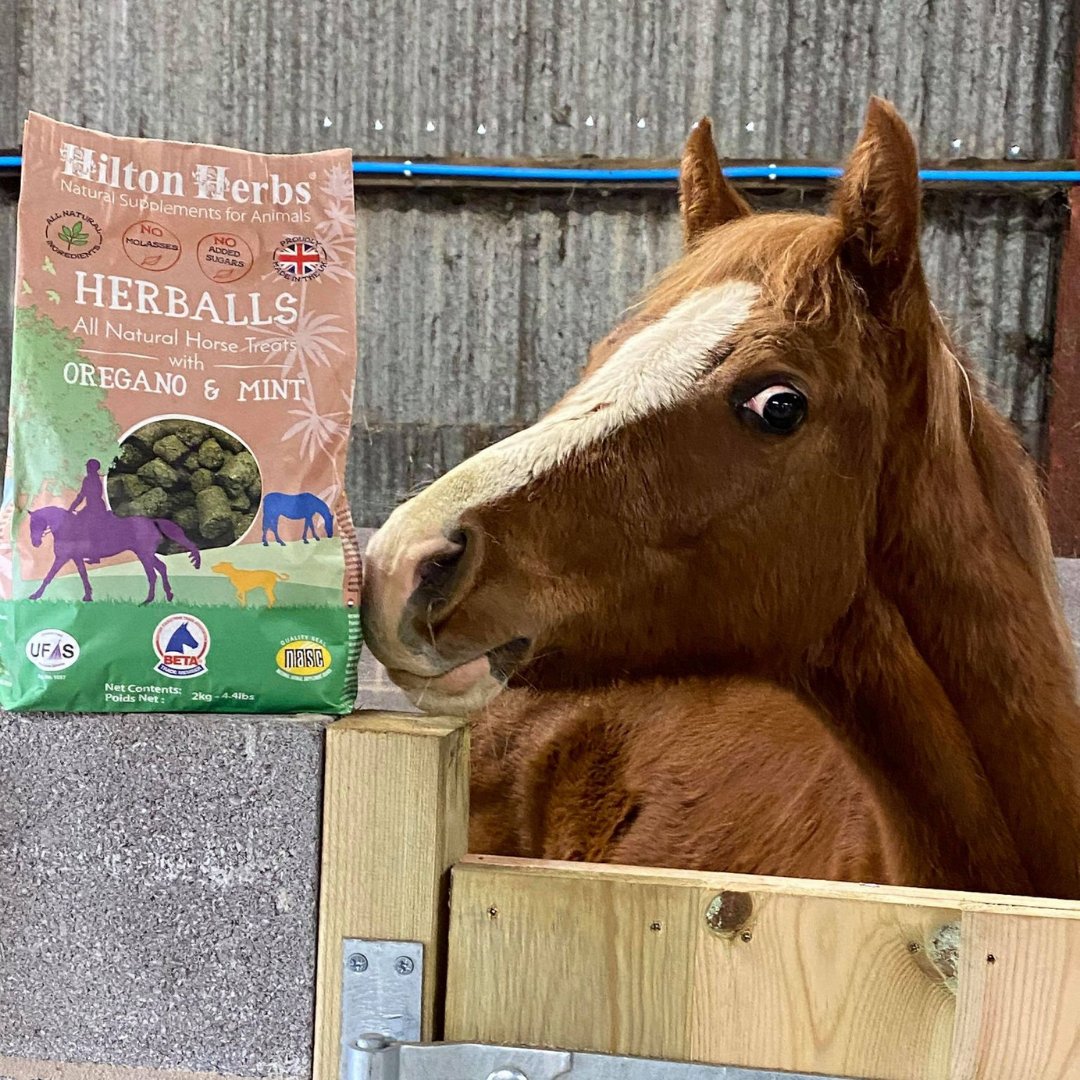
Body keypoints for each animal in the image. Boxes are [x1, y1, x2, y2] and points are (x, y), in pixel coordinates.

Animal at [28, 505, 201, 603]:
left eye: (36, 523)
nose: (35, 543)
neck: (67, 527)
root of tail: (152, 521)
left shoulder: (62, 558)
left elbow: (49, 576)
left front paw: (35, 595)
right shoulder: (76, 558)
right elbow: (83, 575)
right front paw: (88, 597)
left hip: (144, 554)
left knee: (152, 574)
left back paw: (147, 601)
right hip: (147, 554)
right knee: (162, 568)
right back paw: (168, 596)